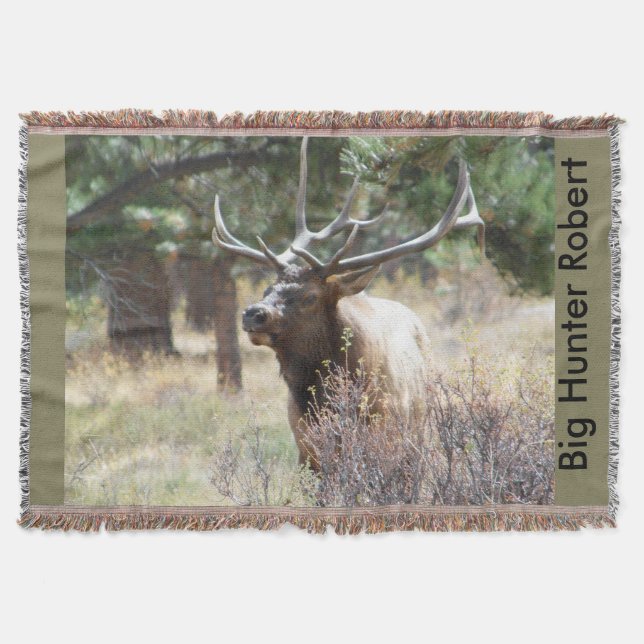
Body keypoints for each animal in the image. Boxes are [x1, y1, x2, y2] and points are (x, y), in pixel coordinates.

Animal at [211, 137, 484, 472]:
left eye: (310, 297)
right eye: (267, 288)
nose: (253, 314)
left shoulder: (387, 440)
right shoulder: (307, 452)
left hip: (419, 432)